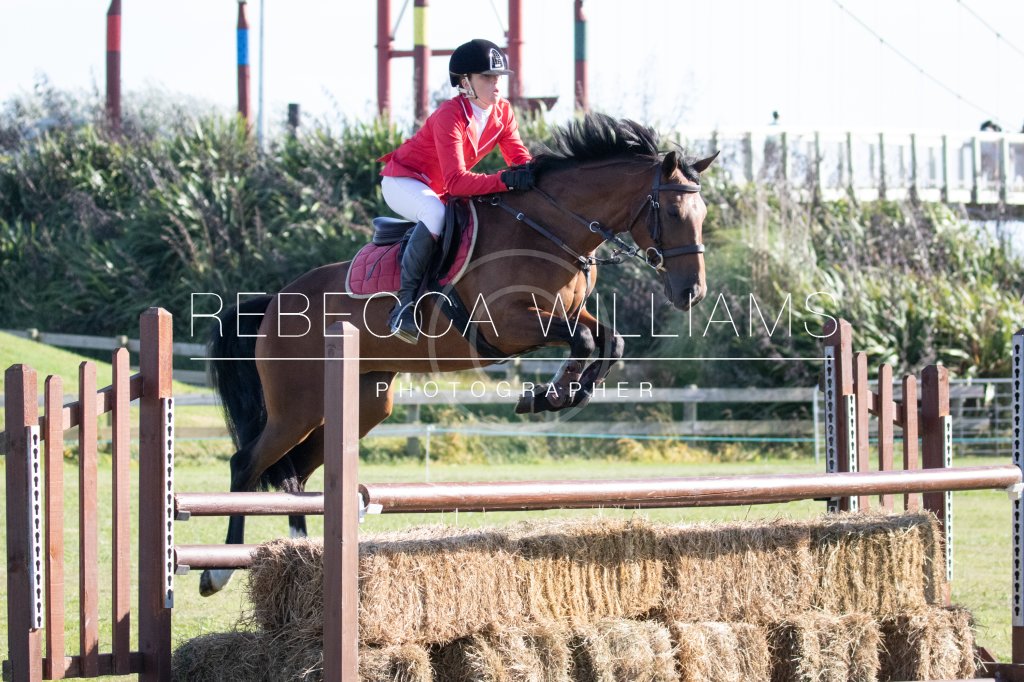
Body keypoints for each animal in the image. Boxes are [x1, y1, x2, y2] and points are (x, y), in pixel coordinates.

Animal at [199, 113, 717, 595]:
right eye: (673, 212)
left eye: (704, 214)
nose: (691, 293)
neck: (548, 229)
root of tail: (273, 302)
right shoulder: (507, 325)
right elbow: (586, 342)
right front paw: (547, 396)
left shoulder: (567, 313)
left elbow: (609, 341)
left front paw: (564, 394)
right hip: (297, 405)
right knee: (246, 463)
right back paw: (217, 572)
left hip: (365, 400)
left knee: (300, 473)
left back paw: (301, 551)